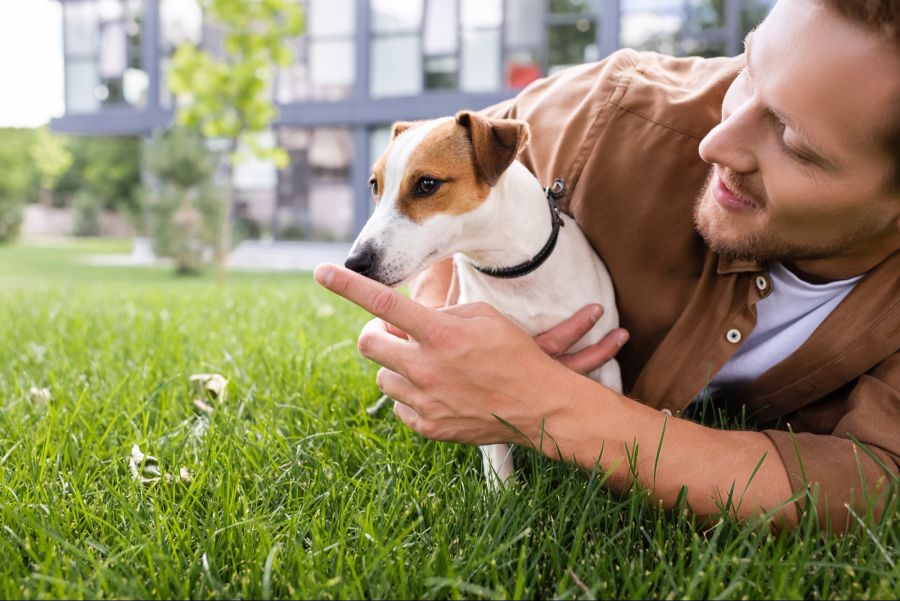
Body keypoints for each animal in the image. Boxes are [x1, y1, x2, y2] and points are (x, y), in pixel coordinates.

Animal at [342, 110, 620, 488]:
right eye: (375, 185)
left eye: (426, 184)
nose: (355, 262)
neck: (513, 274)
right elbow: (497, 456)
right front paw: (503, 497)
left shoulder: (608, 361)